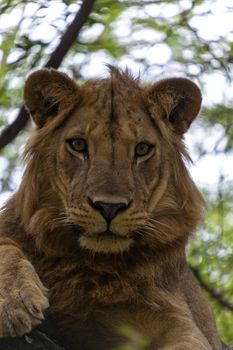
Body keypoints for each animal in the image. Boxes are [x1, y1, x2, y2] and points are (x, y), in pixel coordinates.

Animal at [0, 67, 230, 348]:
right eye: (78, 145)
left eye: (142, 149)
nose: (109, 207)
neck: (91, 266)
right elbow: (6, 246)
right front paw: (15, 300)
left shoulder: (183, 323)